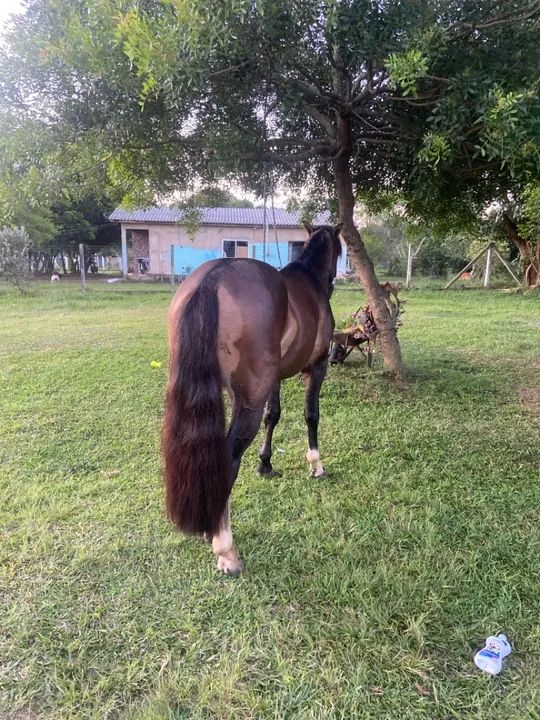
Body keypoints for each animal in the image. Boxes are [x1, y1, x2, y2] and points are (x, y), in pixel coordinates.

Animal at [162, 223, 343, 575]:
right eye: (340, 252)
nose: (333, 282)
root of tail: (212, 281)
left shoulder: (274, 379)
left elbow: (274, 415)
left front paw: (266, 464)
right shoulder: (316, 368)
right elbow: (311, 414)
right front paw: (316, 464)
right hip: (248, 400)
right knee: (228, 458)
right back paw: (225, 548)